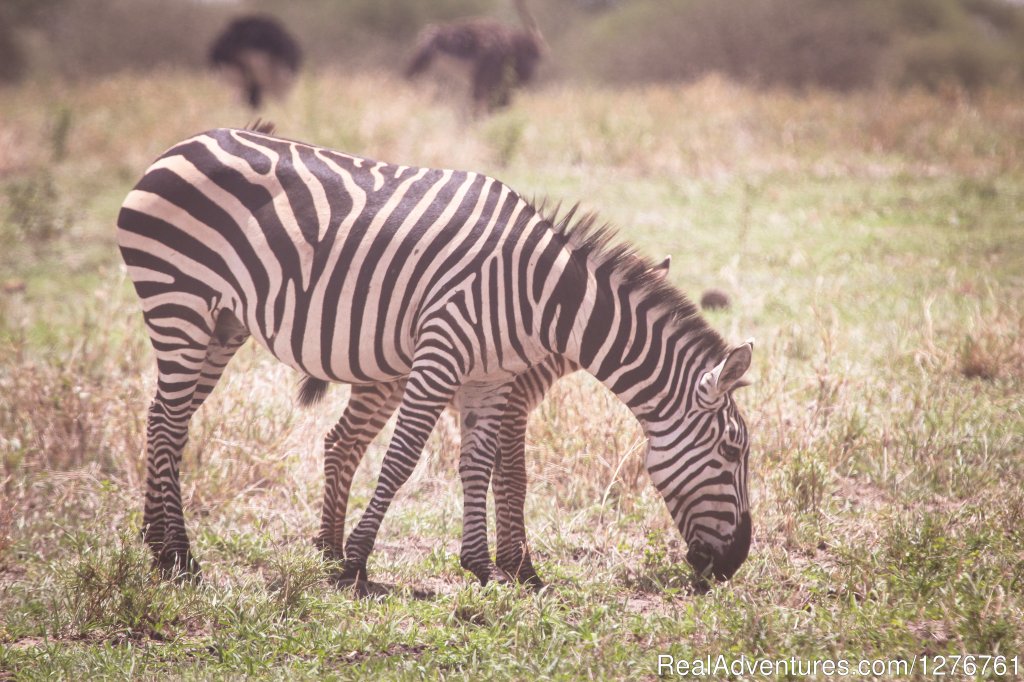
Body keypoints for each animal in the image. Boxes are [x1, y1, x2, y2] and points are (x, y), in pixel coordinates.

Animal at [303, 254, 671, 585]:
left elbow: (497, 476)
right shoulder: (515, 406)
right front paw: (521, 569)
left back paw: (330, 549)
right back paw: (334, 552)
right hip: (382, 387)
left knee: (341, 443)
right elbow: (514, 479)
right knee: (343, 442)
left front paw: (507, 563)